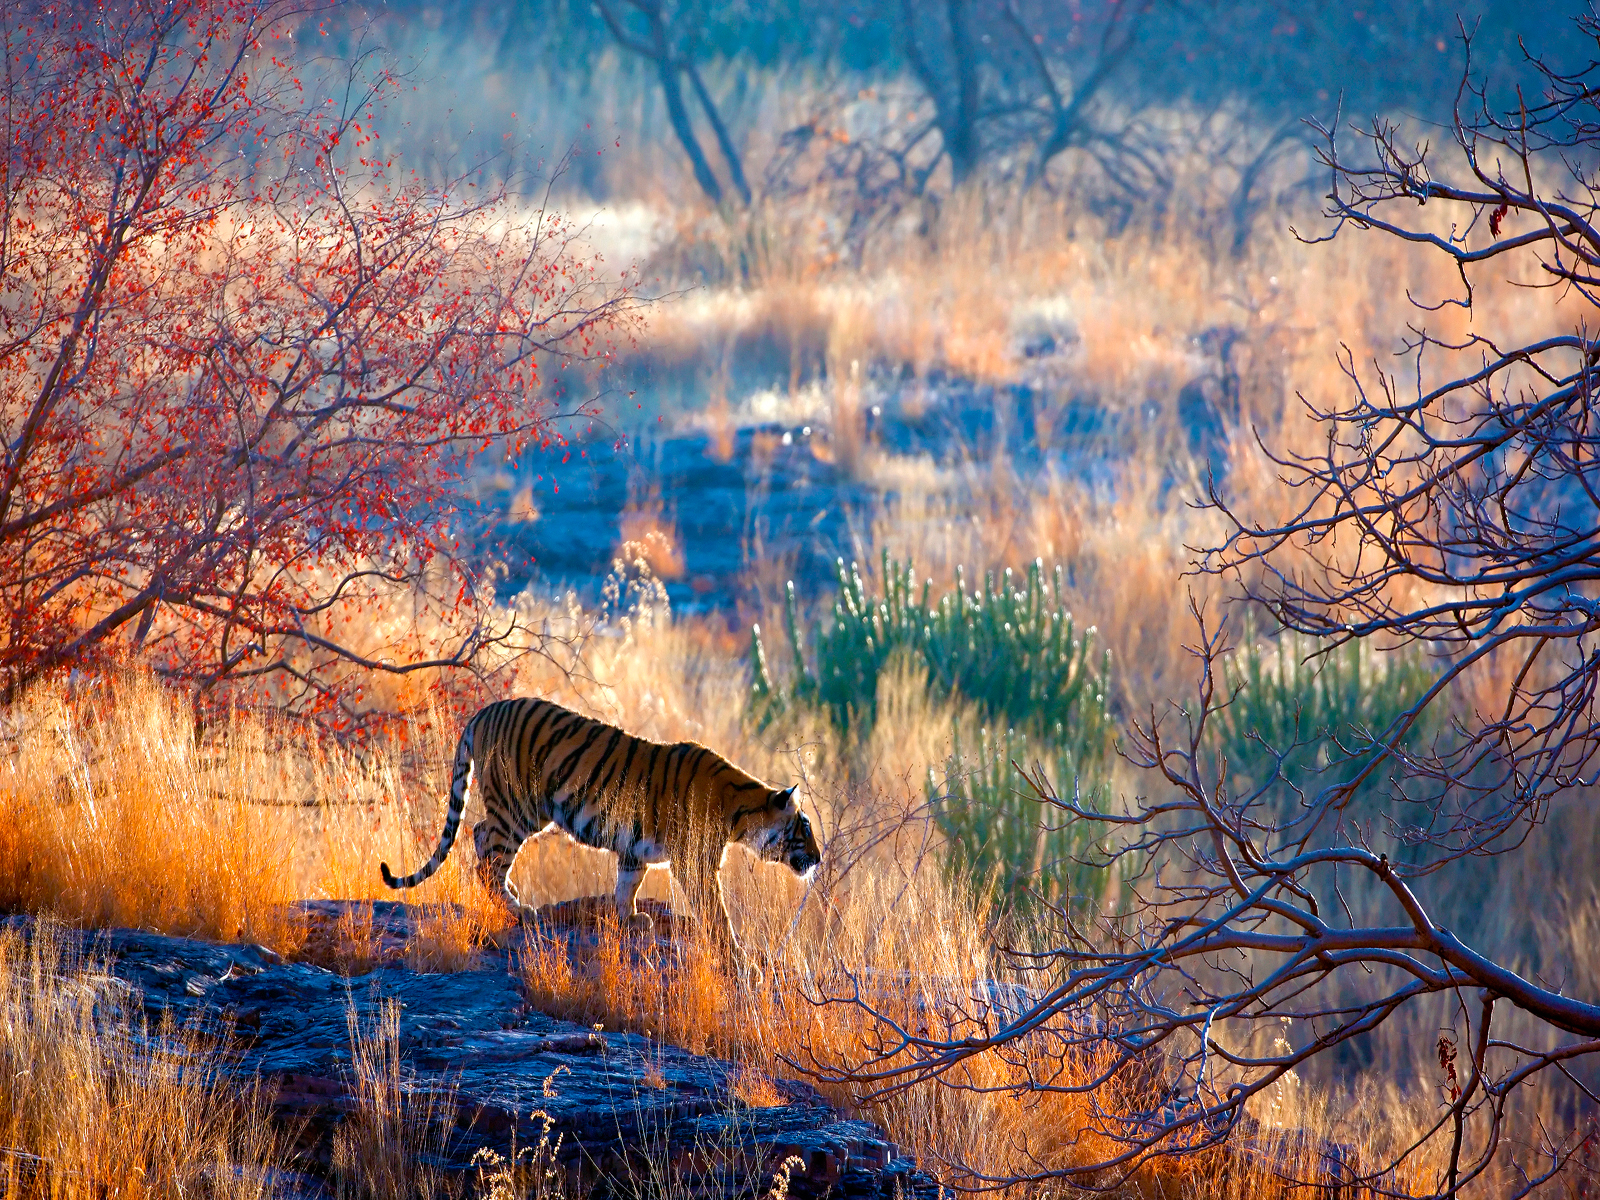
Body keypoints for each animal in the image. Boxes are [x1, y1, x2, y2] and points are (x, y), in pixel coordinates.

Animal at [379, 694, 819, 960]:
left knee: (478, 836)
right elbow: (718, 913)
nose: (817, 858)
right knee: (487, 850)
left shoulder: (634, 851)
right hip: (517, 807)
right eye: (804, 828)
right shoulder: (696, 865)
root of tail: (485, 711)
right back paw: (516, 907)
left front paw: (630, 920)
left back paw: (512, 894)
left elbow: (627, 886)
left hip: (521, 810)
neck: (741, 814)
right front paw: (741, 959)